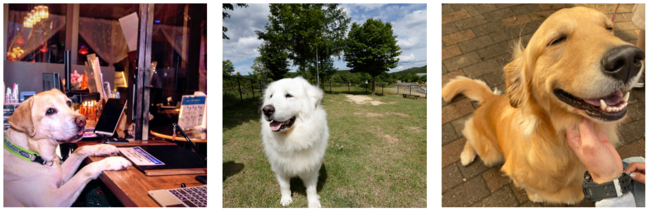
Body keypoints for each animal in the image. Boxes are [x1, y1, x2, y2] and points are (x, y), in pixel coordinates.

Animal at [3, 88, 131, 206]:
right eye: (50, 111)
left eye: (69, 103)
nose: (82, 120)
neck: (33, 153)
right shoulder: (52, 201)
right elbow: (86, 169)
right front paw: (112, 162)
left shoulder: (62, 176)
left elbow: (80, 149)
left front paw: (105, 148)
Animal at [260, 77, 330, 208]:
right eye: (271, 96)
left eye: (289, 95)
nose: (266, 110)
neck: (293, 139)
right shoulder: (280, 168)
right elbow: (284, 186)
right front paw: (286, 199)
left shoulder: (311, 169)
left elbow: (311, 189)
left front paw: (313, 203)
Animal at [440, 6, 644, 205]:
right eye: (556, 40)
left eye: (609, 28)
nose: (629, 58)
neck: (558, 140)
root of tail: (491, 99)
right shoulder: (515, 171)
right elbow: (529, 187)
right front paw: (534, 195)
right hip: (490, 154)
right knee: (469, 134)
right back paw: (466, 155)